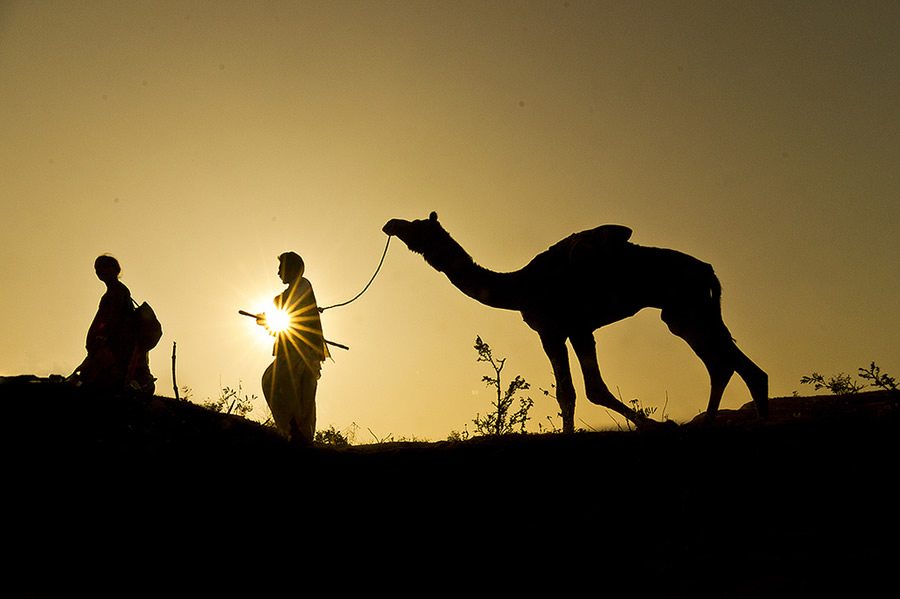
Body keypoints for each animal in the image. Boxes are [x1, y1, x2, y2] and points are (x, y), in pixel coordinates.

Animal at [384, 211, 768, 432]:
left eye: (417, 227)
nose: (391, 224)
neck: (519, 287)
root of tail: (708, 271)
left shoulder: (568, 327)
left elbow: (585, 389)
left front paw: (659, 424)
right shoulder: (560, 331)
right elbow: (571, 392)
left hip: (688, 308)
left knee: (736, 367)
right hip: (687, 314)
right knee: (728, 365)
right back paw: (713, 423)